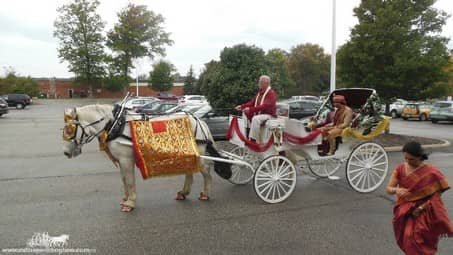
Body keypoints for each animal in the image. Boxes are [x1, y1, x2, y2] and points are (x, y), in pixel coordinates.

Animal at [61, 104, 217, 212]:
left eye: (70, 130)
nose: (66, 153)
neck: (115, 125)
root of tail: (199, 120)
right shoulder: (121, 160)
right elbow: (124, 180)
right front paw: (125, 199)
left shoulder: (126, 159)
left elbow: (129, 181)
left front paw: (130, 203)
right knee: (189, 171)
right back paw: (183, 193)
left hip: (198, 153)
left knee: (206, 172)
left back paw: (205, 194)